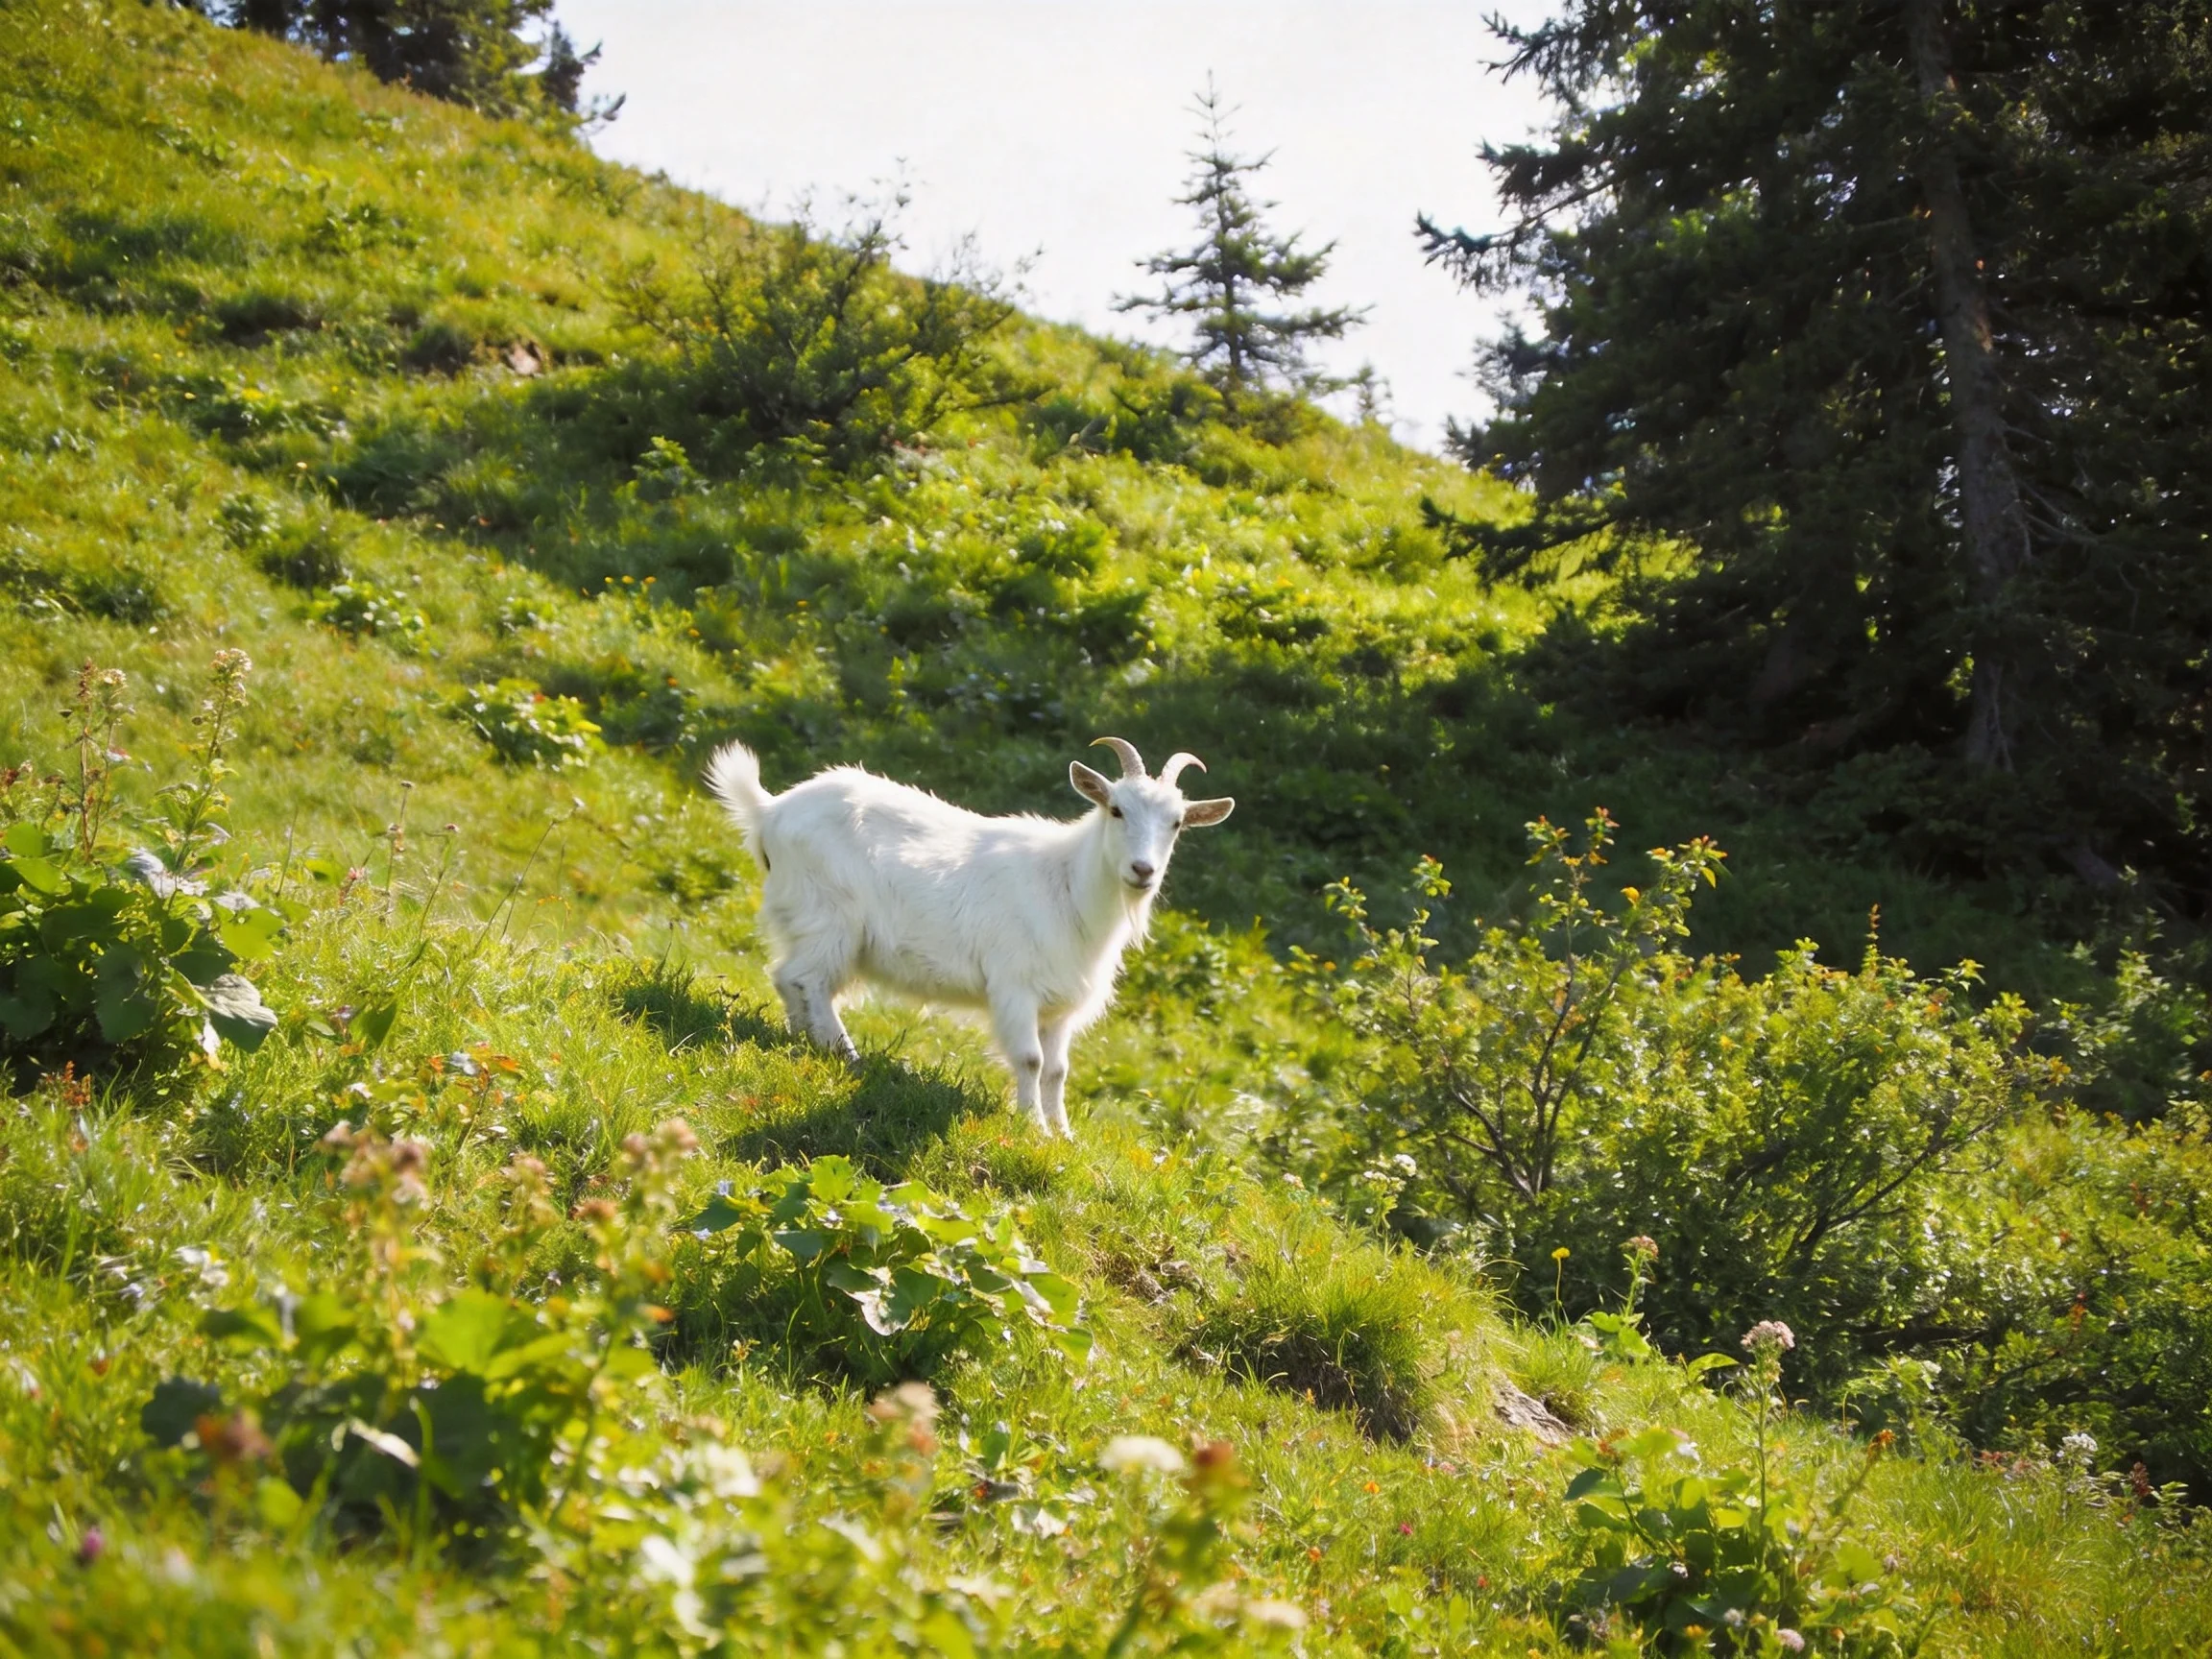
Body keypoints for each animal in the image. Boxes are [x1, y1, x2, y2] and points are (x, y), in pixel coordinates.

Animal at [703, 736, 1234, 1136]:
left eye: (1177, 822)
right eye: (1117, 810)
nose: (1143, 870)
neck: (1064, 883)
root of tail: (769, 811)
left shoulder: (1061, 1005)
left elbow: (1057, 1070)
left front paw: (1063, 1134)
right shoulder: (1015, 986)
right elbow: (1030, 1060)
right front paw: (1032, 1128)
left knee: (789, 978)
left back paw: (803, 1042)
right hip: (830, 920)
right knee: (805, 979)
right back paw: (848, 1057)